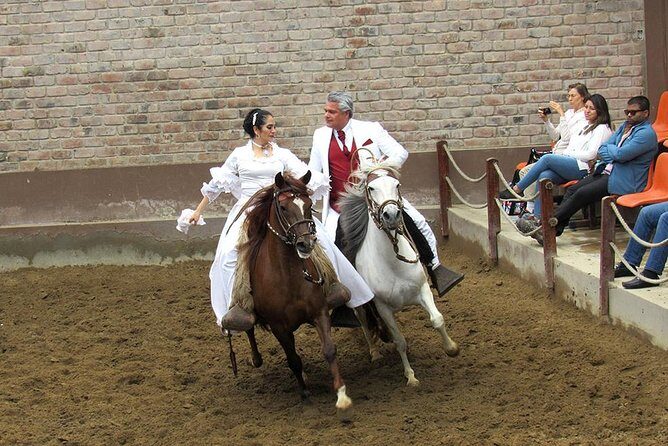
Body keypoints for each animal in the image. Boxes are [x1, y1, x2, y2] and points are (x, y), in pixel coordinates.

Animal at [239, 171, 352, 412]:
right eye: (283, 207)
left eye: (309, 205)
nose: (305, 243)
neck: (288, 276)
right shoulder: (278, 326)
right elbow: (293, 359)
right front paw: (305, 394)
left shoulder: (319, 312)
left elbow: (329, 349)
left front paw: (341, 394)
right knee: (249, 329)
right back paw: (256, 358)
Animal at [339, 161, 460, 386]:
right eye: (371, 188)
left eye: (397, 184)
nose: (392, 215)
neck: (392, 262)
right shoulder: (382, 306)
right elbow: (399, 340)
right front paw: (410, 376)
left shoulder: (422, 290)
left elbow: (437, 320)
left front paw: (452, 349)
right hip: (360, 305)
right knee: (365, 324)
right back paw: (375, 353)